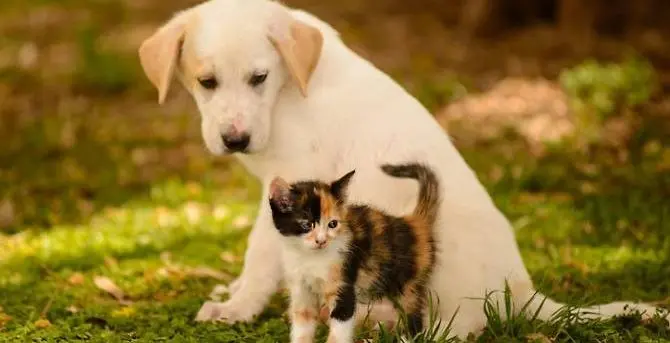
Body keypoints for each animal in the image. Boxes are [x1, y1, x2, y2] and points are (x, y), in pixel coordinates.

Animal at [270, 164, 444, 343]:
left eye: (333, 224)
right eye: (306, 225)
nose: (321, 241)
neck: (310, 258)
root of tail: (414, 222)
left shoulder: (344, 283)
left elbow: (339, 330)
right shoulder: (301, 290)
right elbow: (302, 323)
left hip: (407, 284)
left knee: (412, 315)